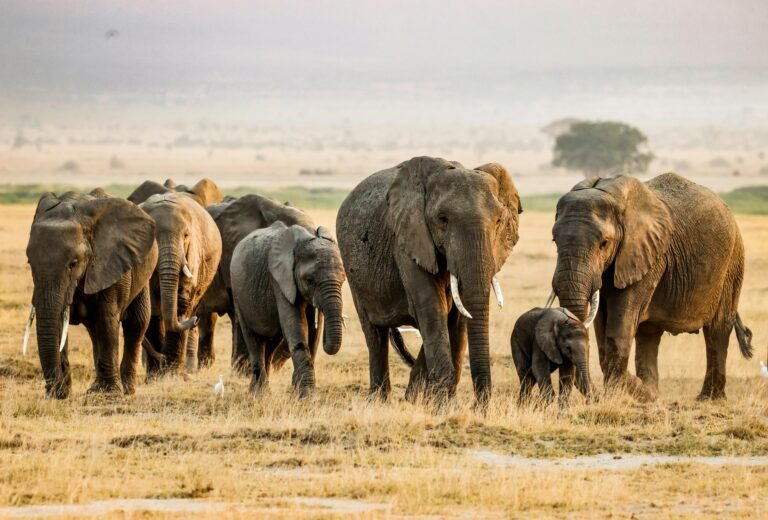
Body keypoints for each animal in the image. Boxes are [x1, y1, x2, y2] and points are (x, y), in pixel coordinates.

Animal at [25, 190, 158, 398]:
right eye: (30, 262)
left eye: (73, 263)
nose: (55, 392)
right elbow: (58, 322)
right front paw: (62, 394)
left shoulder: (110, 263)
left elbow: (106, 318)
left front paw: (111, 395)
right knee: (95, 331)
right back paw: (96, 389)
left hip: (142, 272)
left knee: (136, 322)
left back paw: (127, 389)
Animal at [139, 192, 222, 375]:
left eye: (185, 236)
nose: (195, 320)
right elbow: (152, 306)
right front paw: (156, 375)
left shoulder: (193, 253)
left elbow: (182, 301)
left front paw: (170, 373)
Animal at [230, 221, 345, 398]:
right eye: (309, 280)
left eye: (344, 279)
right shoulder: (280, 281)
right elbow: (296, 326)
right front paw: (306, 397)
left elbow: (313, 334)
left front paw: (298, 391)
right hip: (238, 294)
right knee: (253, 339)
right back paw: (258, 393)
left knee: (271, 343)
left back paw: (263, 390)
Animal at [336, 156, 522, 406]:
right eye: (443, 220)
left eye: (499, 220)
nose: (478, 407)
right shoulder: (407, 239)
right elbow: (432, 308)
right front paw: (442, 405)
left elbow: (456, 315)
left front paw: (436, 402)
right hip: (353, 270)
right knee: (374, 334)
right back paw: (378, 401)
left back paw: (409, 398)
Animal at [549, 173, 753, 401]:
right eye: (554, 240)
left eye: (604, 243)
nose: (596, 397)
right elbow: (602, 329)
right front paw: (638, 393)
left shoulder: (648, 257)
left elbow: (617, 332)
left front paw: (631, 392)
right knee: (649, 335)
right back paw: (653, 391)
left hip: (732, 263)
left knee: (717, 331)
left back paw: (708, 398)